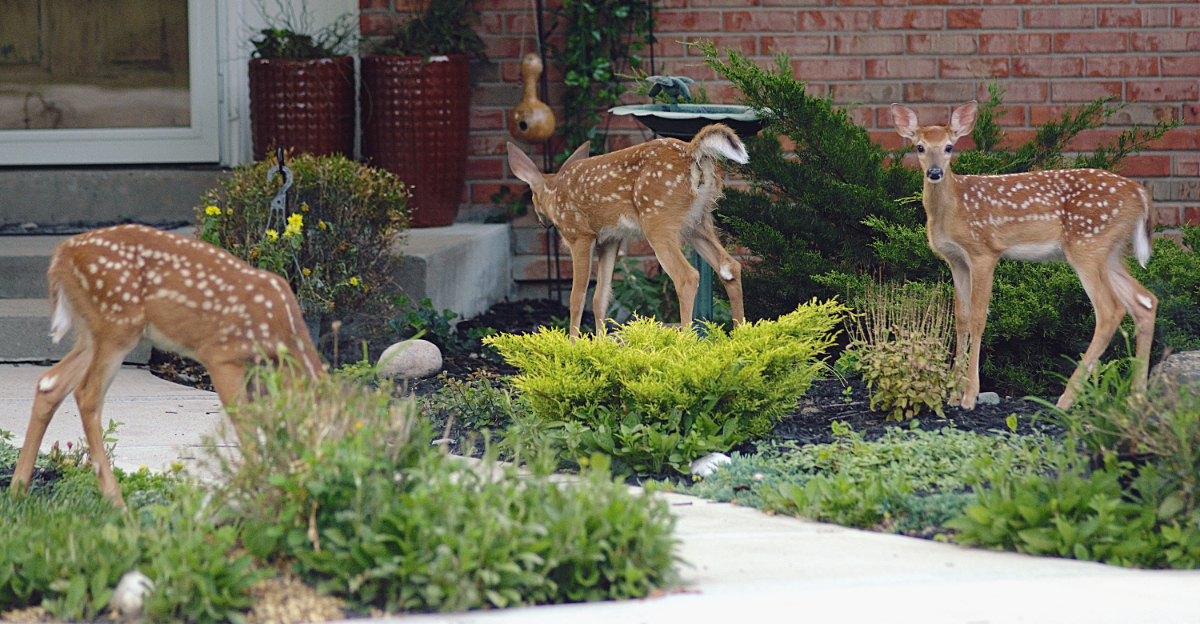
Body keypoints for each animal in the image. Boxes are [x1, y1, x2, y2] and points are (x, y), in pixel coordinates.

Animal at [9, 224, 326, 507]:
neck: (281, 335)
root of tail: (61, 253)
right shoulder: (220, 355)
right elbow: (245, 426)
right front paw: (257, 494)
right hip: (117, 324)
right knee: (87, 394)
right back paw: (116, 502)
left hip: (92, 331)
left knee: (50, 383)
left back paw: (17, 490)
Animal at [506, 123, 749, 338]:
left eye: (532, 195)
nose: (543, 222)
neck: (555, 192)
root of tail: (692, 152)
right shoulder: (610, 240)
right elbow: (600, 297)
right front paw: (600, 345)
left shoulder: (580, 235)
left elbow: (577, 297)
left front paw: (572, 344)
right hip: (697, 222)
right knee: (729, 266)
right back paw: (739, 339)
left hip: (657, 220)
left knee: (687, 277)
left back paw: (684, 343)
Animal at [890, 101, 1158, 410]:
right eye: (920, 147)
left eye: (948, 147)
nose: (934, 173)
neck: (952, 209)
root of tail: (1140, 193)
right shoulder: (955, 260)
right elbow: (961, 317)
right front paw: (953, 393)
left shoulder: (984, 251)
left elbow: (979, 317)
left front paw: (969, 396)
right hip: (1109, 250)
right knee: (1144, 301)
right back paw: (1136, 398)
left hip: (1087, 243)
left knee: (1110, 309)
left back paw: (1067, 398)